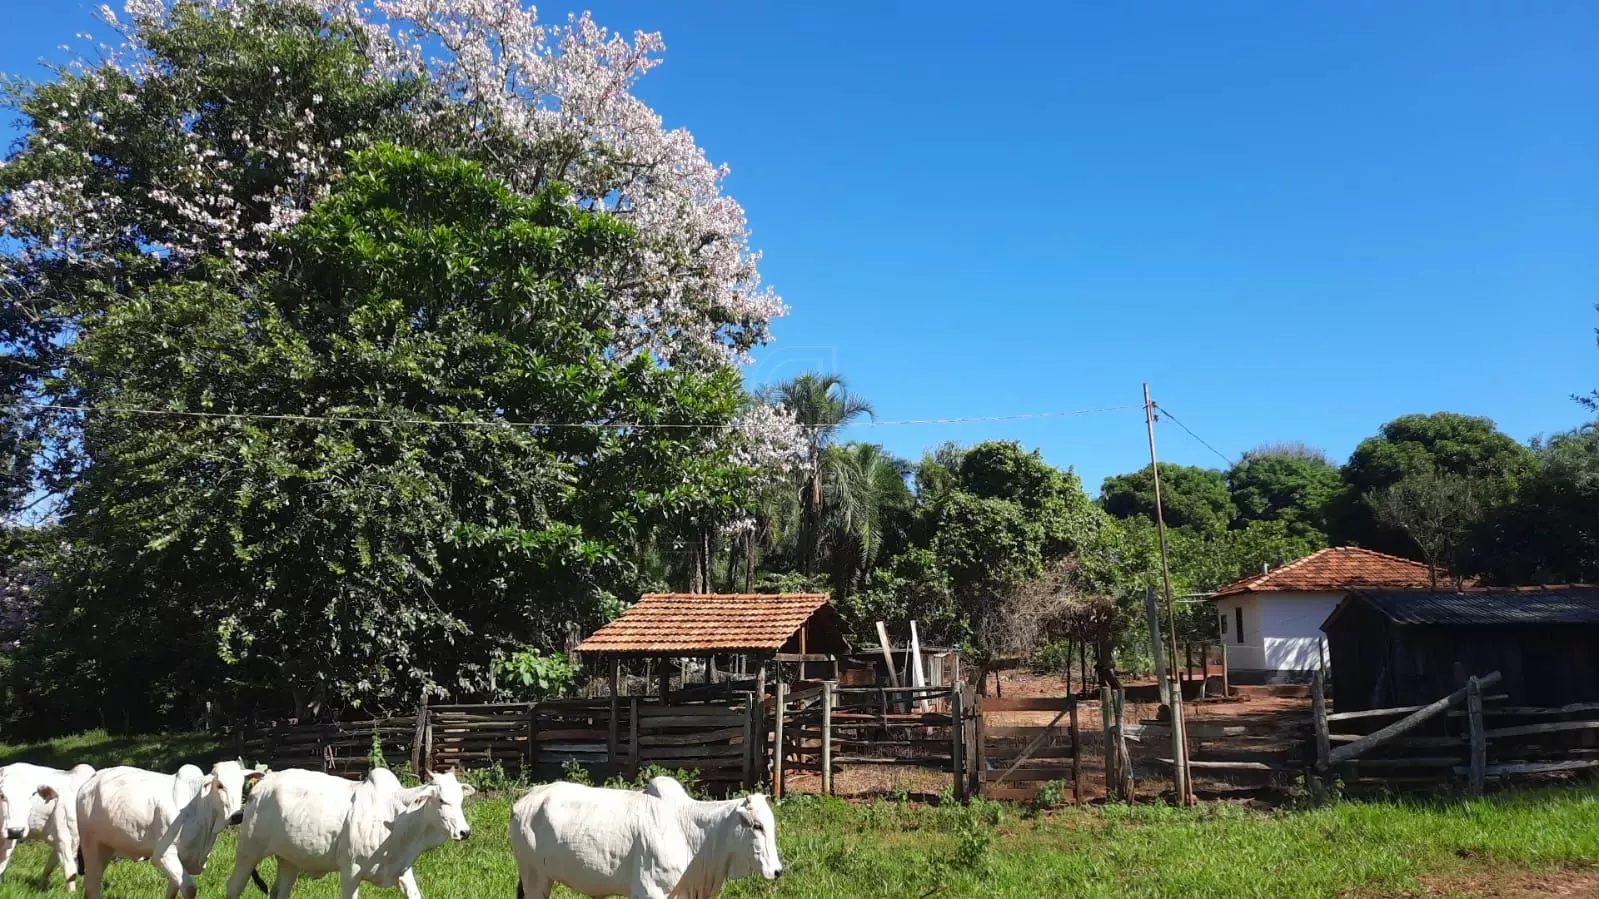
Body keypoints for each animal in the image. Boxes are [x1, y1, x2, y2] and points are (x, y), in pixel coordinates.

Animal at [76, 755, 259, 895]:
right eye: (220, 785)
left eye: (241, 784)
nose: (237, 815)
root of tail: (91, 779)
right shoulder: (164, 855)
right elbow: (190, 889)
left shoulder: (184, 860)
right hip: (91, 845)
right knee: (92, 886)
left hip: (106, 848)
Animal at [225, 761, 473, 895]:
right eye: (441, 800)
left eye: (461, 800)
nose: (465, 832)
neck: (396, 819)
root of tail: (264, 781)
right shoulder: (350, 872)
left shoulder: (403, 871)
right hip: (249, 851)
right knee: (233, 886)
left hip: (289, 860)